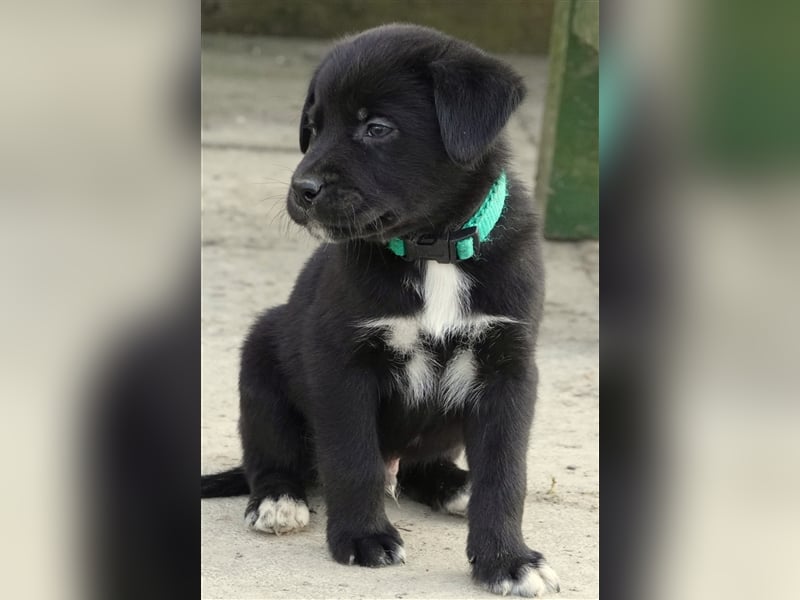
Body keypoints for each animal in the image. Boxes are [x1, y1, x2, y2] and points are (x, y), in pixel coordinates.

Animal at [203, 22, 560, 596]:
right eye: (313, 127)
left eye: (376, 128)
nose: (301, 190)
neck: (432, 251)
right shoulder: (342, 364)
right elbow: (354, 460)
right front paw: (362, 537)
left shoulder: (508, 367)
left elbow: (505, 475)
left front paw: (507, 559)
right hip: (260, 358)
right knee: (271, 455)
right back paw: (278, 499)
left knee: (420, 467)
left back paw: (454, 485)